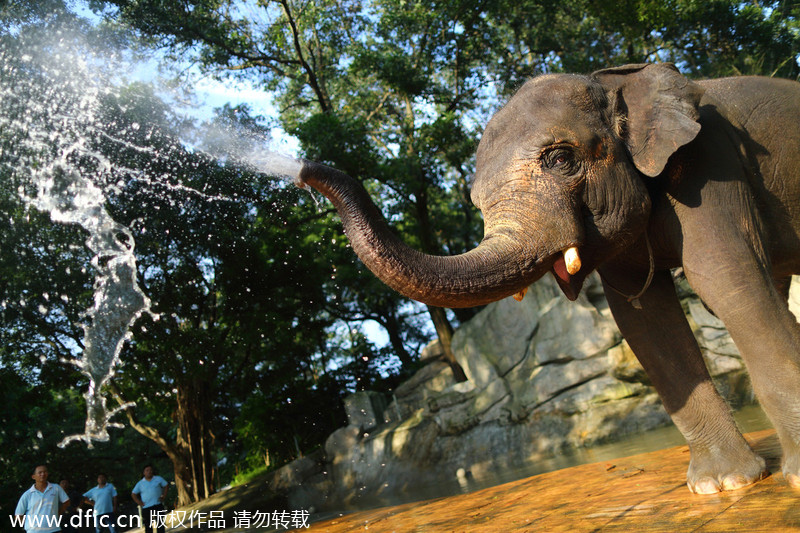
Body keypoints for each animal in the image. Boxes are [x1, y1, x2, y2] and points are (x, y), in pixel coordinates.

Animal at [296, 63, 800, 494]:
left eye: (559, 158)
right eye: (474, 200)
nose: (301, 169)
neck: (615, 80)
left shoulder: (712, 164)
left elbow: (725, 276)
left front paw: (766, 481)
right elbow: (642, 318)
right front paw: (721, 484)